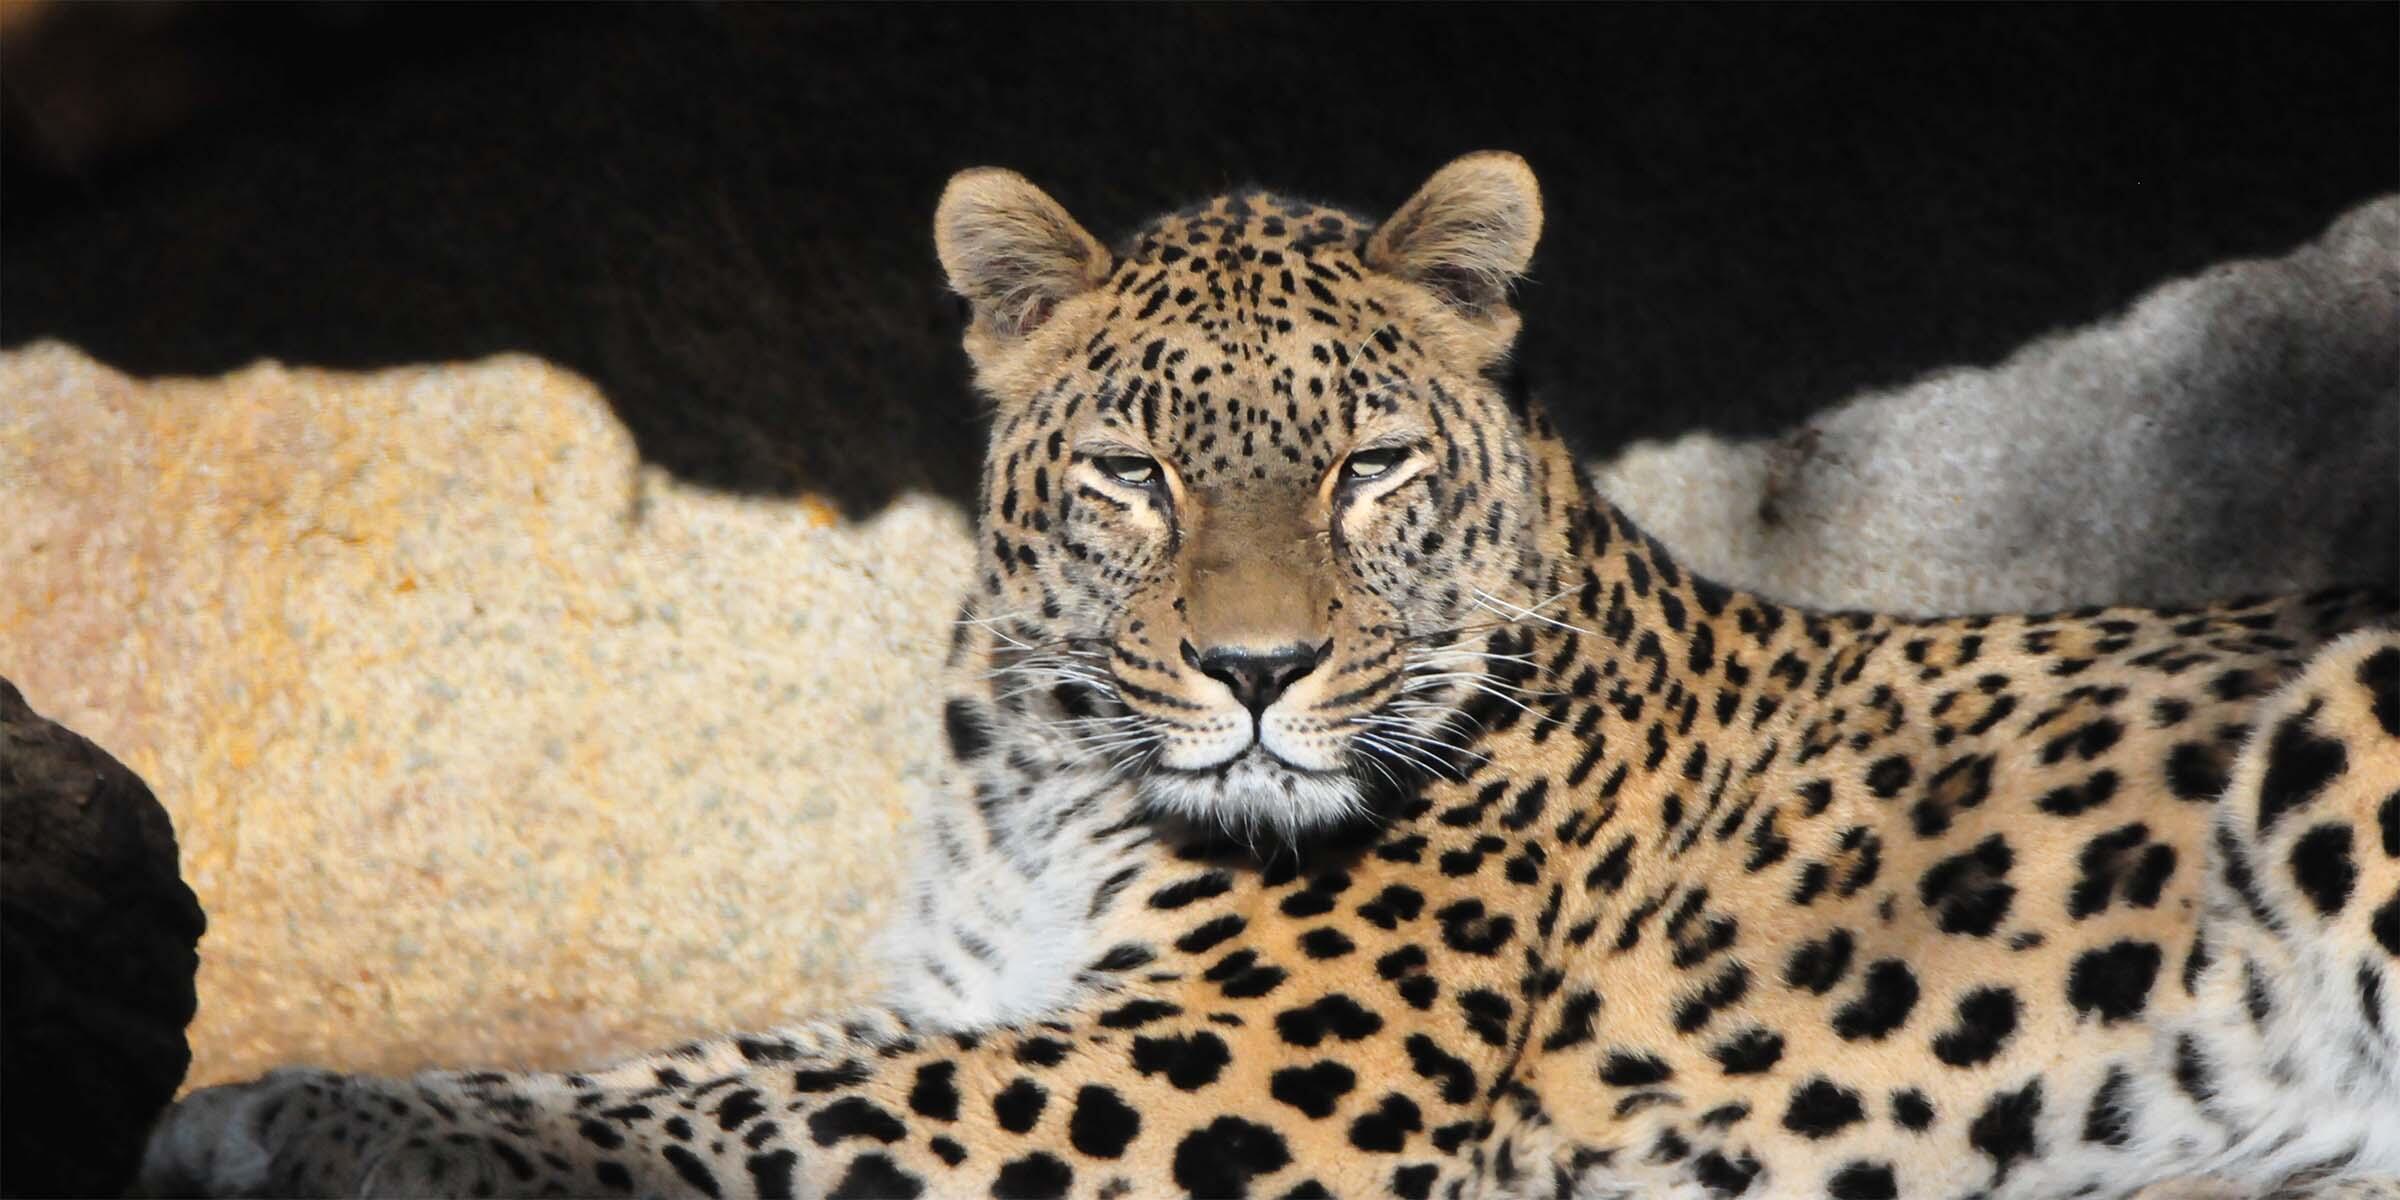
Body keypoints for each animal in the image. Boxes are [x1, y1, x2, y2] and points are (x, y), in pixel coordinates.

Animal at [140, 157, 2390, 1200]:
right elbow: (695, 1066)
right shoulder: (994, 994)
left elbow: (777, 1108)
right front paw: (280, 1105)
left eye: (1368, 466)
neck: (1044, 775)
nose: (1254, 673)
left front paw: (324, 1122)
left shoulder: (1221, 1066)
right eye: (1136, 473)